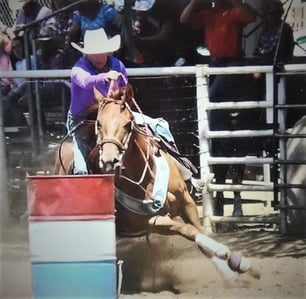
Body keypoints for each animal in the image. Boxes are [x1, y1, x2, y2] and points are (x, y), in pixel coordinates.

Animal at [53, 83, 260, 284]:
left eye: (127, 124)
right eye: (99, 123)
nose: (110, 160)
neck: (145, 179)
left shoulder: (186, 201)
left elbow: (200, 233)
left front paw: (236, 267)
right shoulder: (151, 221)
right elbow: (188, 230)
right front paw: (226, 258)